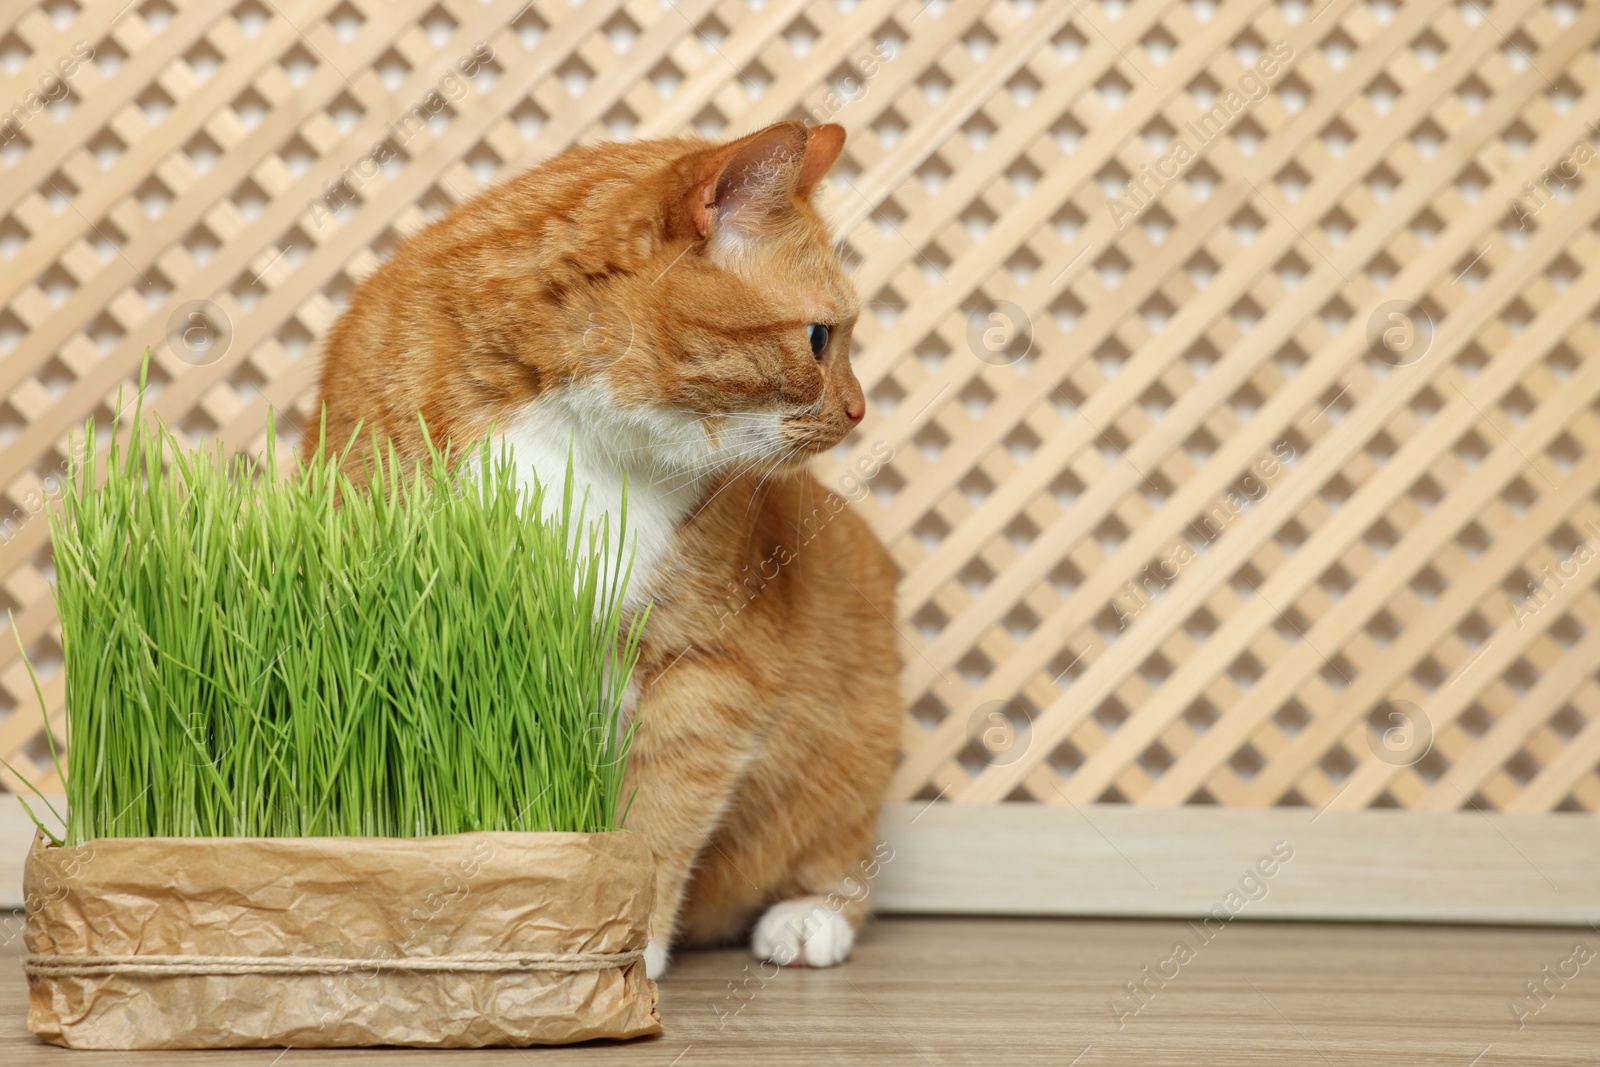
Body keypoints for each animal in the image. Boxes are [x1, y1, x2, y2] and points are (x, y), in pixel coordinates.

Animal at [300, 123, 902, 979]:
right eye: (820, 339)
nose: (859, 410)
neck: (574, 432)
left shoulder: (707, 674)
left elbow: (655, 825)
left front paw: (630, 948)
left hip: (855, 729)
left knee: (841, 851)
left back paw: (807, 920)